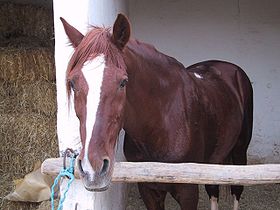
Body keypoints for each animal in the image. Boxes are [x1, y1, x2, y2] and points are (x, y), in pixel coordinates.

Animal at [61, 13, 254, 210]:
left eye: (123, 82)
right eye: (73, 83)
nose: (93, 169)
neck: (160, 126)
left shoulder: (188, 192)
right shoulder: (148, 189)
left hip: (239, 151)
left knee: (236, 190)